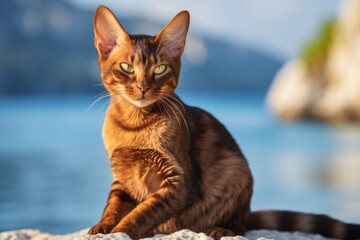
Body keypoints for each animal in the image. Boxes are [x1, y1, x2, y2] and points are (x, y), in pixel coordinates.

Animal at [88, 5, 360, 240]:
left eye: (159, 69)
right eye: (126, 67)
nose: (144, 87)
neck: (133, 125)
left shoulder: (180, 183)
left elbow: (142, 212)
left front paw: (122, 230)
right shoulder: (121, 177)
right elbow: (113, 204)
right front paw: (102, 226)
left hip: (236, 172)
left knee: (239, 226)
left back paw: (220, 229)